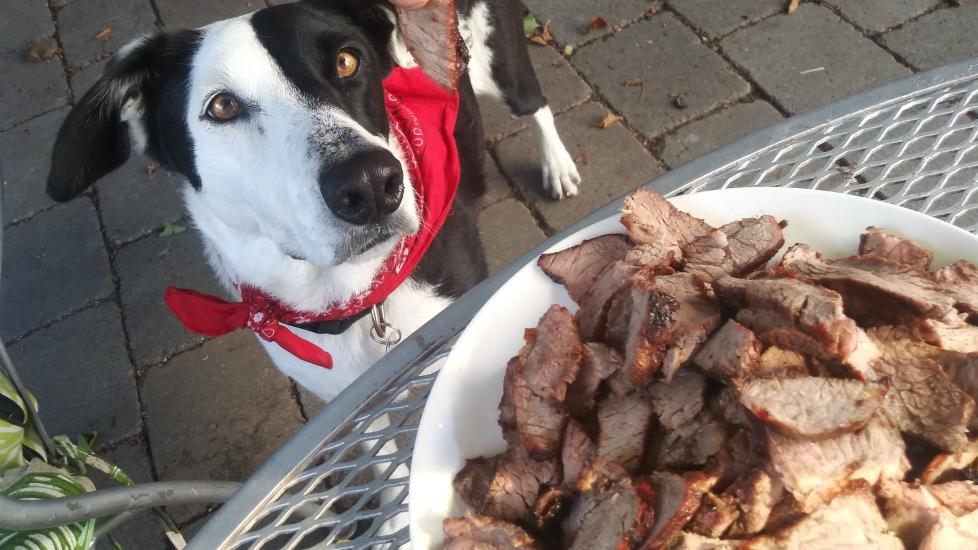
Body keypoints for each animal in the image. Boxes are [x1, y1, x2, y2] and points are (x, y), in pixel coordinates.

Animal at [47, 0, 580, 402]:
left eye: (348, 60)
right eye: (222, 106)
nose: (370, 184)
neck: (348, 299)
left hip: (498, 59)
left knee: (535, 103)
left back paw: (557, 165)